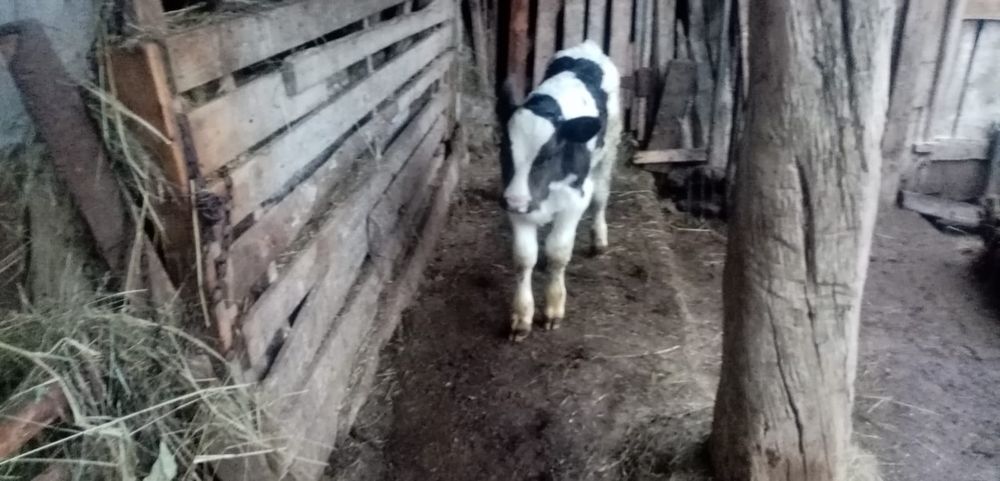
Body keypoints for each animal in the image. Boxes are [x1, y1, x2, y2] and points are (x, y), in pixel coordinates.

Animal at [498, 40, 622, 342]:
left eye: (548, 155)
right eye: (504, 148)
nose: (516, 200)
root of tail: (588, 46)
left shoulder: (574, 200)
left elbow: (558, 251)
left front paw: (553, 308)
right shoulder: (515, 202)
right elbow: (524, 257)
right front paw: (521, 317)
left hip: (609, 150)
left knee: (600, 198)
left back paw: (599, 240)